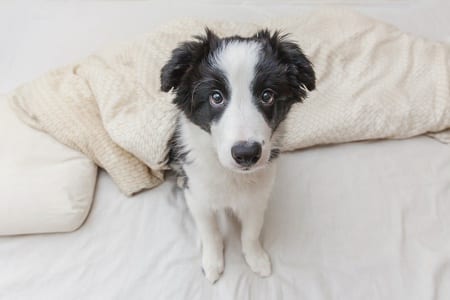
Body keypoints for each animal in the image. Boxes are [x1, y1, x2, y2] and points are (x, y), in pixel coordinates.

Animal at [160, 28, 314, 284]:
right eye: (216, 97)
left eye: (267, 95)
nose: (246, 154)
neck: (231, 175)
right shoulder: (198, 196)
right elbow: (210, 232)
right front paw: (212, 263)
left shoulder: (258, 198)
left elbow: (251, 232)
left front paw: (256, 259)